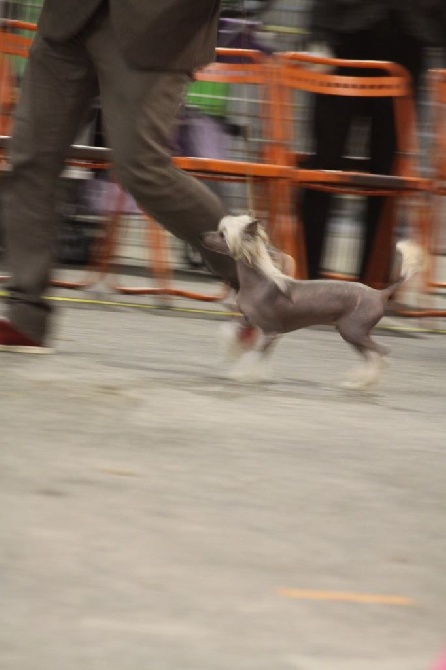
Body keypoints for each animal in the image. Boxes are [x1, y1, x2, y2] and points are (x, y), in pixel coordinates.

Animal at [202, 217, 426, 388]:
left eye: (222, 234)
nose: (202, 236)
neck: (259, 281)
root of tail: (380, 294)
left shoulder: (270, 332)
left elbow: (255, 354)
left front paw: (243, 375)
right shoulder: (250, 321)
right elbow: (235, 336)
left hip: (354, 331)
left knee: (381, 353)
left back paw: (364, 383)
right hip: (353, 335)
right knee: (371, 356)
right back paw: (358, 381)